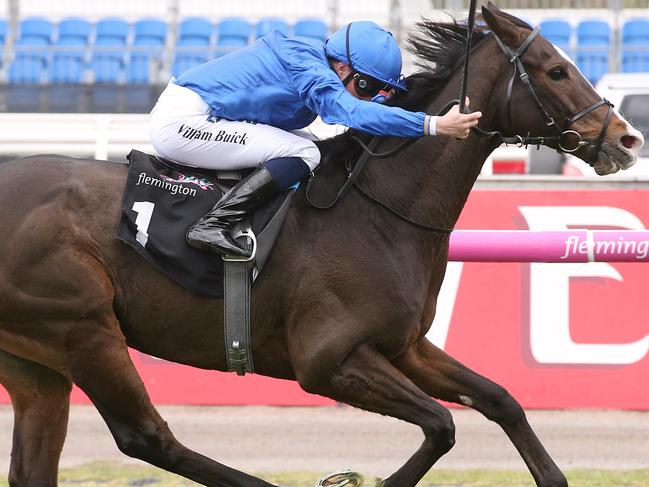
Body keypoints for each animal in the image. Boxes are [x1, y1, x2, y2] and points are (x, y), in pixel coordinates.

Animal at [0, 3, 640, 487]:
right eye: (556, 71)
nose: (627, 139)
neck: (376, 212)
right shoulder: (328, 360)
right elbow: (442, 425)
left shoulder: (404, 346)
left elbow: (500, 399)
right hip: (82, 326)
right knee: (147, 437)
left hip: (36, 360)